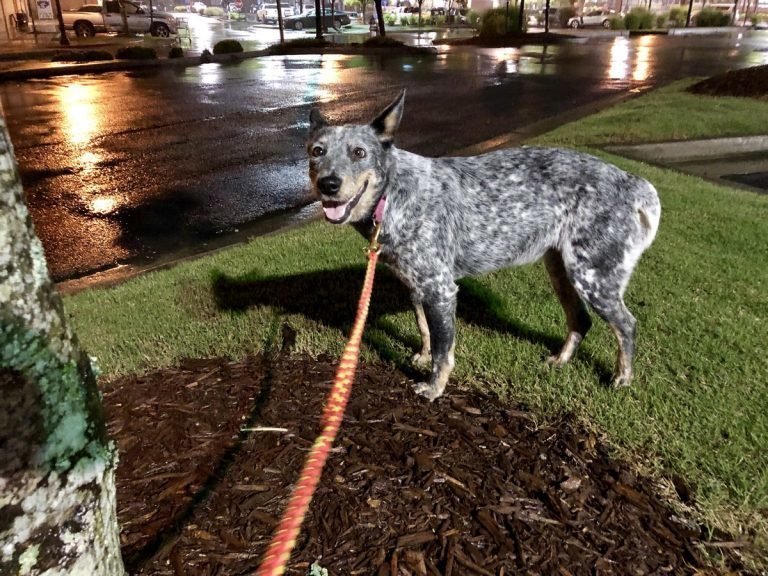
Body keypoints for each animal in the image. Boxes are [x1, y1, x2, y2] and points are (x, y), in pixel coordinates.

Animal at [306, 93, 660, 400]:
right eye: (317, 151)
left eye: (359, 152)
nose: (328, 184)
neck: (392, 193)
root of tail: (633, 182)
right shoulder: (417, 286)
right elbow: (424, 329)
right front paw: (421, 356)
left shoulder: (441, 289)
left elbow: (443, 351)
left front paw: (434, 388)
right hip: (561, 270)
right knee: (581, 321)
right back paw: (561, 361)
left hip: (593, 278)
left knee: (627, 325)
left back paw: (622, 378)